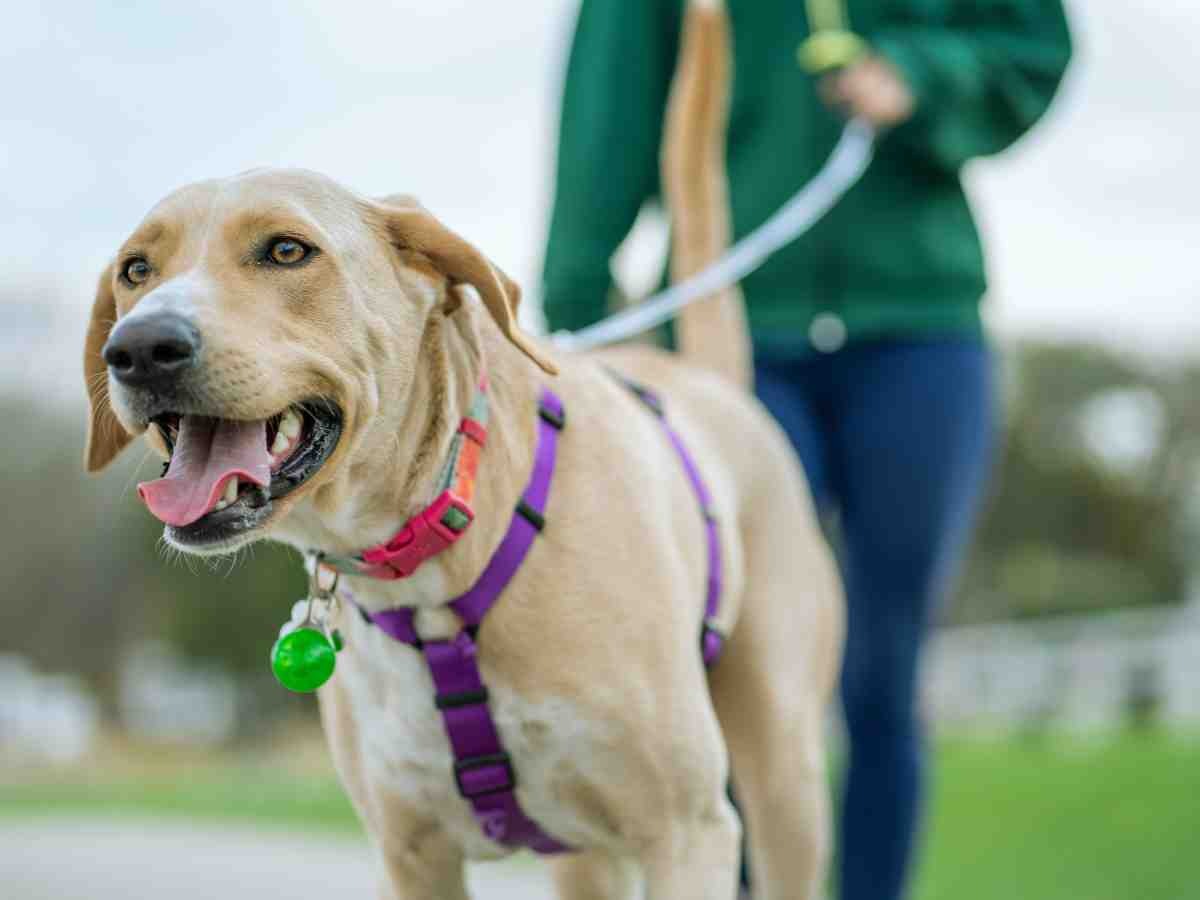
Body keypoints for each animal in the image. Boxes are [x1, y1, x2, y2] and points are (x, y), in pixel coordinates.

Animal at [82, 3, 844, 897]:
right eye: (136, 269)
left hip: (783, 783)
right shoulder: (412, 854)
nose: (138, 348)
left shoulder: (688, 834)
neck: (435, 559)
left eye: (286, 250)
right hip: (587, 857)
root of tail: (710, 383)